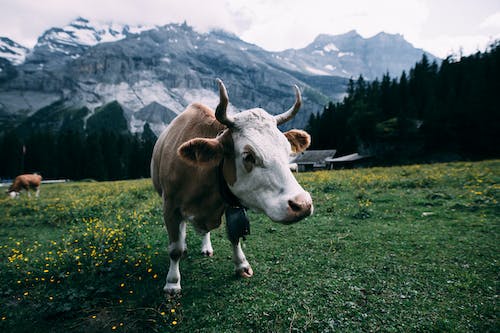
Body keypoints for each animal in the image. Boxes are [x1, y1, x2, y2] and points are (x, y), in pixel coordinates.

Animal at [150, 78, 312, 294]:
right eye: (248, 156)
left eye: (287, 150)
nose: (302, 204)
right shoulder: (169, 206)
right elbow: (174, 249)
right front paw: (172, 283)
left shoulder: (229, 204)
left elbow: (234, 235)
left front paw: (242, 265)